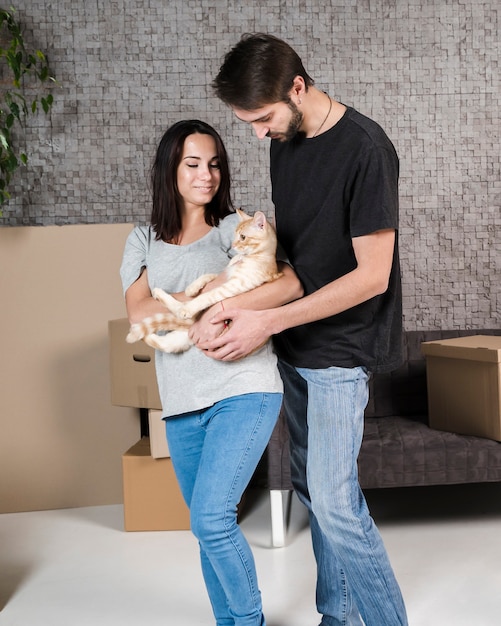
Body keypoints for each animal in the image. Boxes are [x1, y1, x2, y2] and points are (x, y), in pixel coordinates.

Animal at [125, 208, 282, 352]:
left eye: (243, 237)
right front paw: (192, 288)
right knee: (161, 341)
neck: (250, 257)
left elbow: (208, 295)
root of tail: (190, 325)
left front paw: (191, 302)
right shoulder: (225, 272)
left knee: (177, 314)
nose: (233, 245)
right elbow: (210, 275)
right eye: (235, 235)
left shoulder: (236, 285)